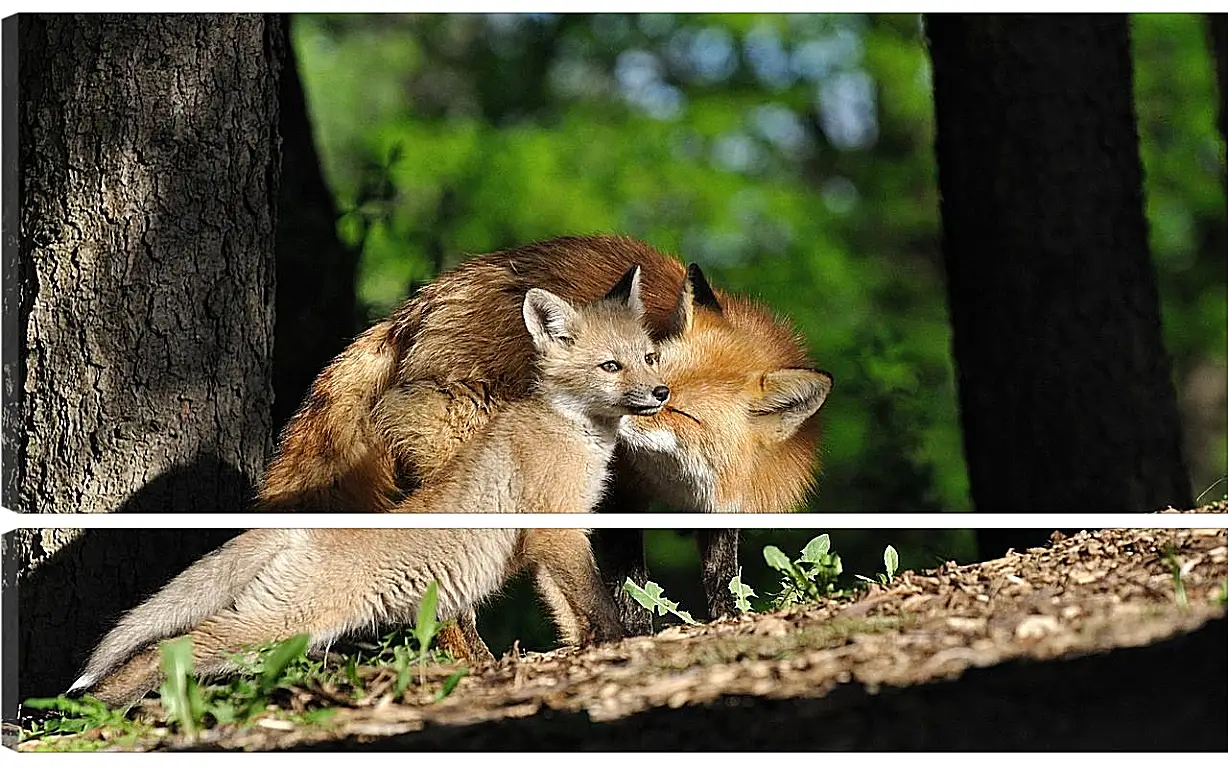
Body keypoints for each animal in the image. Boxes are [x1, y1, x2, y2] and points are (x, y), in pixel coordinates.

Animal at [67, 269, 663, 707]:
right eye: (611, 366)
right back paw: (95, 710)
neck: (572, 431)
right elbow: (598, 603)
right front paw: (622, 644)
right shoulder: (556, 531)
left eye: (649, 357)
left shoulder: (545, 546)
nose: (660, 392)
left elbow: (568, 612)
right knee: (164, 649)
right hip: (281, 619)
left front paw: (579, 651)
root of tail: (298, 527)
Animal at [259, 233, 835, 629]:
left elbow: (723, 579)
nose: (621, 413)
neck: (674, 483)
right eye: (652, 373)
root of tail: (423, 302)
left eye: (682, 412)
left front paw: (726, 622)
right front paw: (637, 635)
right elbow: (631, 589)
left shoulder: (722, 507)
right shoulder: (618, 494)